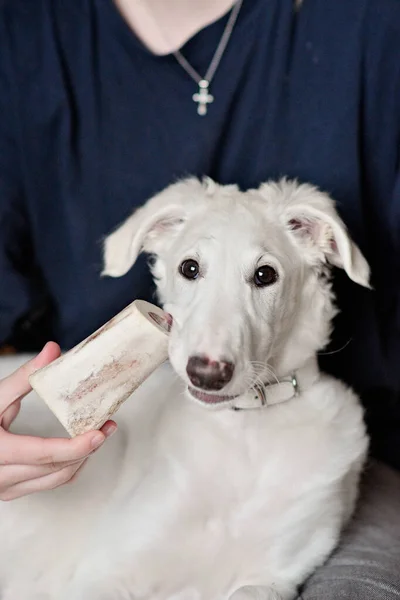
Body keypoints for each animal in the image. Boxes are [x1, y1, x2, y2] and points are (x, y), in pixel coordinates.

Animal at [0, 179, 368, 600]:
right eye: (189, 268)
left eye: (265, 275)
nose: (207, 374)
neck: (245, 432)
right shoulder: (110, 566)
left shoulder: (273, 576)